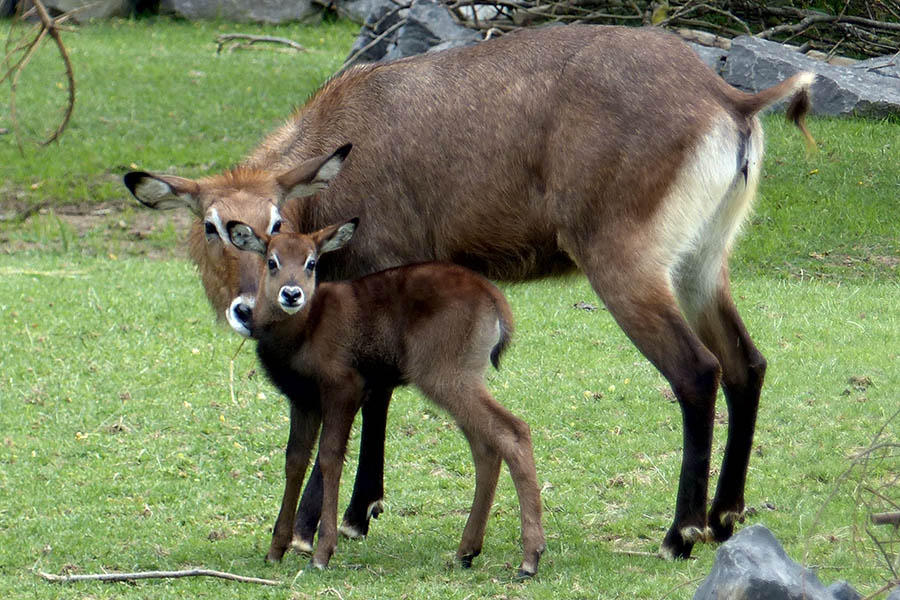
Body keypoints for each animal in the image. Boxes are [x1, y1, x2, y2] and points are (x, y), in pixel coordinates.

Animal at [229, 218, 544, 576]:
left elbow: (330, 458)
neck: (304, 331)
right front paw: (276, 549)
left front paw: (322, 553)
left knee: (512, 431)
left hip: (445, 377)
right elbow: (295, 461)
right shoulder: (302, 399)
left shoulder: (344, 387)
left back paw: (530, 558)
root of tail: (495, 301)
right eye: (272, 261)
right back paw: (466, 551)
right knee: (486, 447)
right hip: (462, 379)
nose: (292, 294)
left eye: (311, 262)